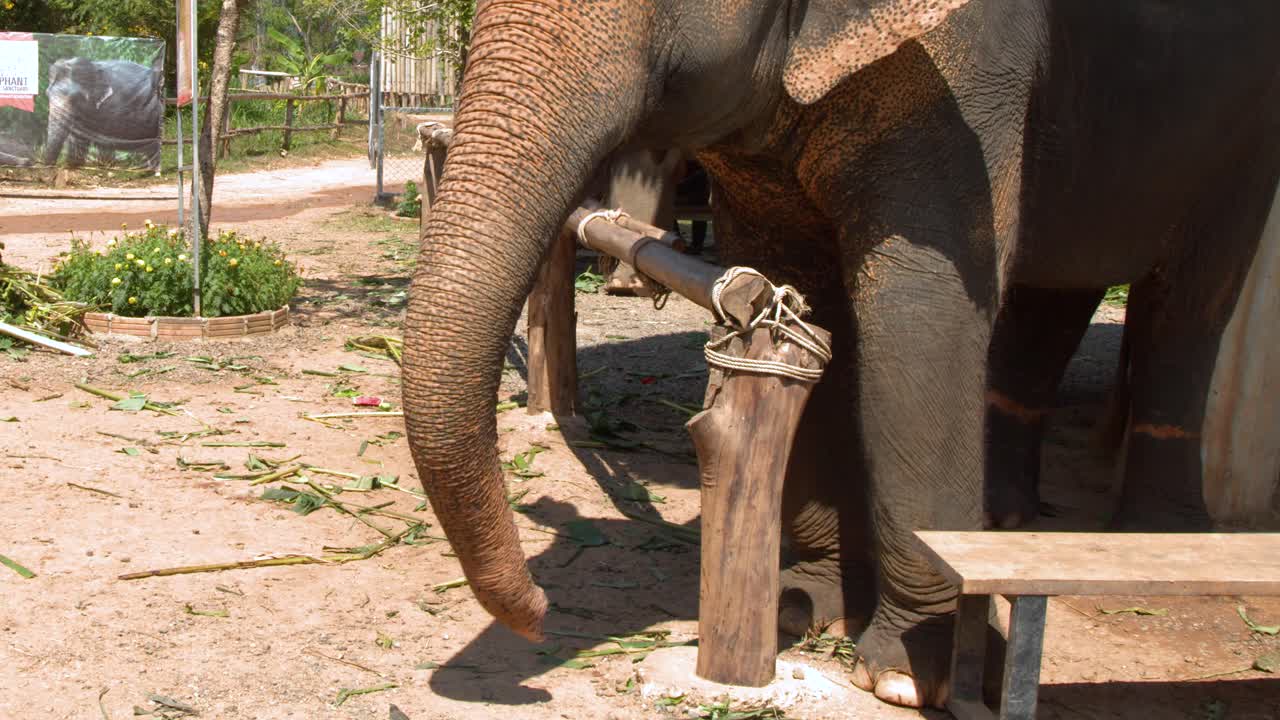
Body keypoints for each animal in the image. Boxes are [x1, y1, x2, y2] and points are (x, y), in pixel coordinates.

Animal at [402, 0, 1280, 709]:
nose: (540, 617)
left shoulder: (967, 69)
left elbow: (921, 313)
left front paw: (913, 675)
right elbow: (791, 278)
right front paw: (801, 604)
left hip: (1243, 134)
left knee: (1191, 300)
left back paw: (1163, 541)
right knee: (1058, 291)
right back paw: (1007, 522)